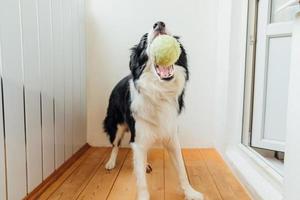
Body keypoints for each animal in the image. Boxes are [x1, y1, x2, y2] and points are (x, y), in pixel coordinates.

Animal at [103, 21, 204, 199]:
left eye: (172, 37)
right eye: (144, 41)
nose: (159, 23)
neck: (159, 91)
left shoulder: (172, 137)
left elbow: (182, 170)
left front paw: (190, 192)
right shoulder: (138, 138)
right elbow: (142, 181)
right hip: (116, 125)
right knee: (115, 145)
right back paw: (111, 162)